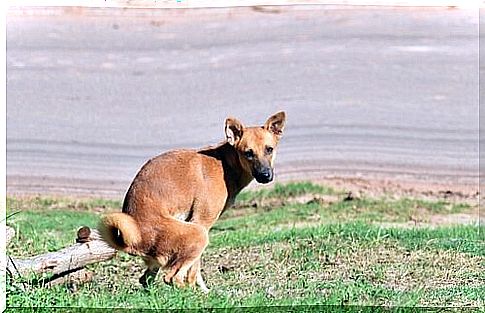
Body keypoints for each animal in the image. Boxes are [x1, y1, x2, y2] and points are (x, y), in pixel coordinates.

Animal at [99, 111, 286, 292]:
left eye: (269, 149)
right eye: (248, 153)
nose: (265, 175)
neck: (225, 164)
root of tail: (135, 240)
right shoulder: (201, 222)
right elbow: (194, 271)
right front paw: (199, 291)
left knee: (146, 280)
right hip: (198, 234)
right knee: (172, 277)